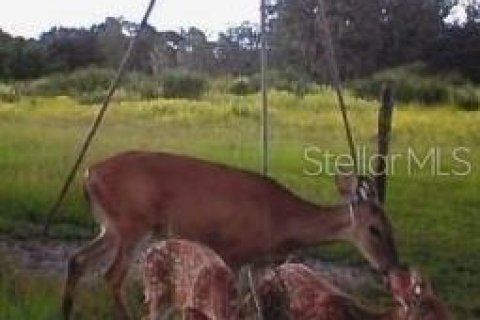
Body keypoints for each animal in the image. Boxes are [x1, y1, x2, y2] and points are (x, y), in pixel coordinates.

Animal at [61, 151, 398, 318]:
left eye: (393, 227)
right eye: (375, 229)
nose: (390, 266)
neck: (281, 223)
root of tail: (88, 175)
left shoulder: (259, 262)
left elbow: (265, 309)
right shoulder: (235, 251)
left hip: (112, 226)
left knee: (77, 259)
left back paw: (66, 311)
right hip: (133, 223)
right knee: (112, 275)